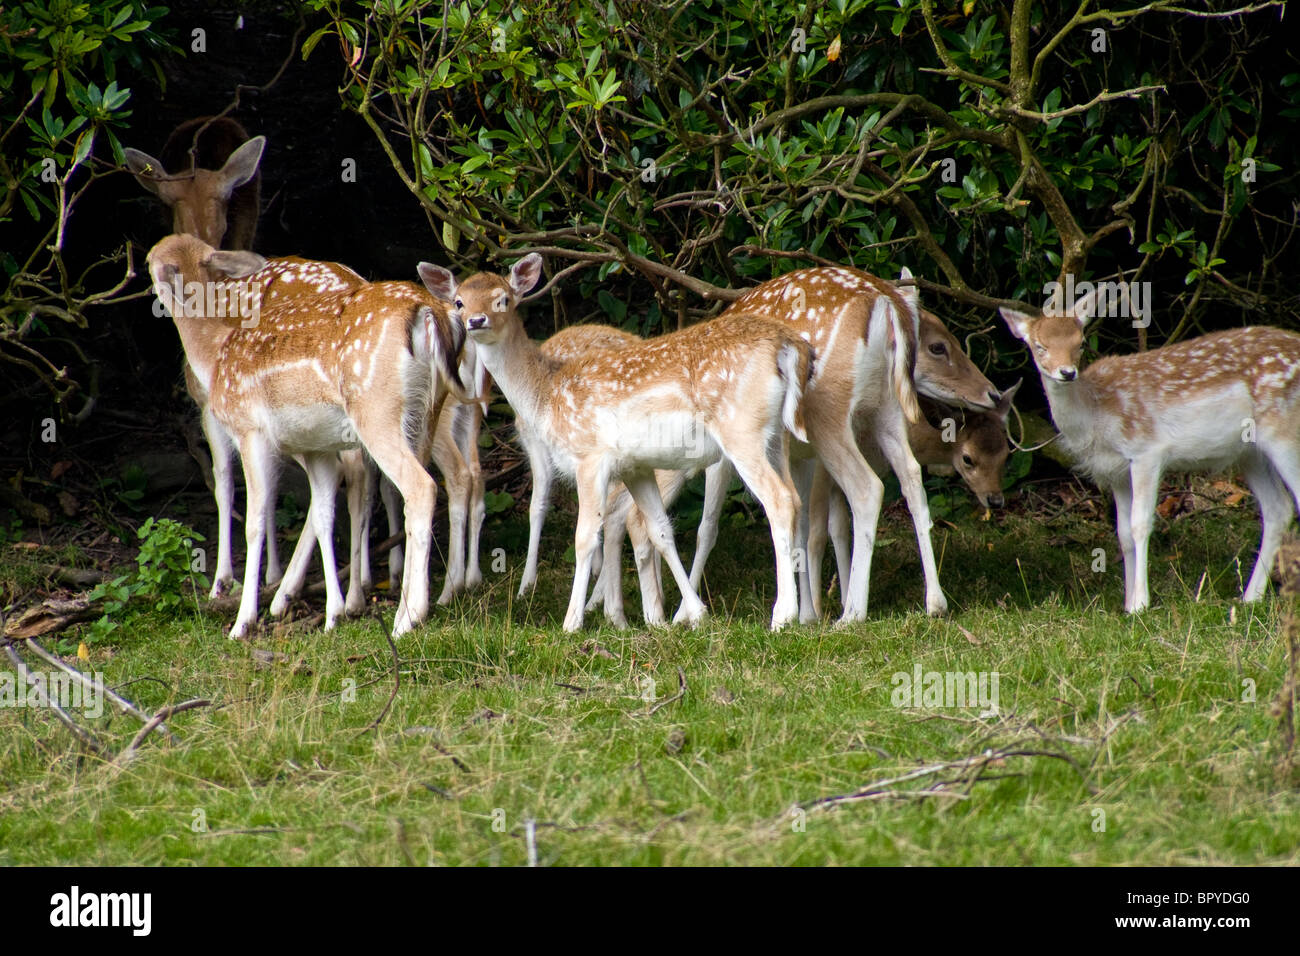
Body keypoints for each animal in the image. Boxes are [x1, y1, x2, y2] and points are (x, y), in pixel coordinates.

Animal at [145, 235, 470, 639]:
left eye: (149, 260)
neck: (217, 356)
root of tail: (430, 312)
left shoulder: (250, 429)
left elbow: (250, 513)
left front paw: (241, 619)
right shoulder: (315, 447)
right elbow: (322, 512)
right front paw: (331, 613)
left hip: (375, 410)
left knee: (420, 486)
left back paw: (408, 617)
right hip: (426, 414)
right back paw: (393, 603)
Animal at [418, 254, 811, 632]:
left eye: (503, 299)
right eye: (459, 301)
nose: (476, 320)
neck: (547, 394)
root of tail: (789, 346)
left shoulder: (590, 456)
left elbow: (586, 536)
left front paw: (571, 623)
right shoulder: (635, 466)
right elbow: (660, 529)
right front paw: (693, 614)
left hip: (740, 429)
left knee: (778, 500)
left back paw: (783, 616)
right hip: (776, 436)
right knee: (796, 498)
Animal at [1003, 286, 1300, 613]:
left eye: (1079, 342)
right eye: (1039, 346)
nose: (1066, 372)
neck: (1096, 415)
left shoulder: (1146, 450)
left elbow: (1140, 524)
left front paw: (1140, 605)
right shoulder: (1115, 470)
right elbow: (1122, 534)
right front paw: (1127, 603)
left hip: (1284, 430)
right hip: (1250, 452)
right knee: (1278, 508)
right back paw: (1249, 597)